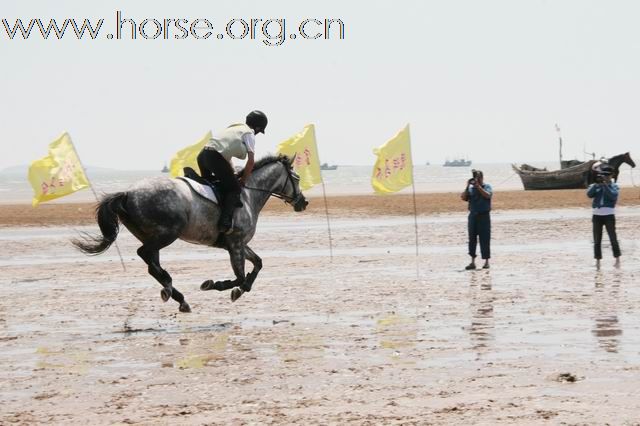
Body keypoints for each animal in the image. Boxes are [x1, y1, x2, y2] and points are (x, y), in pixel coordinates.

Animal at [72, 156, 308, 312]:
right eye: (296, 178)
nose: (303, 202)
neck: (249, 195)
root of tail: (128, 193)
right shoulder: (235, 243)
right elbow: (240, 276)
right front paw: (216, 285)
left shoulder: (238, 244)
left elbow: (257, 263)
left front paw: (241, 290)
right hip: (167, 233)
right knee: (145, 255)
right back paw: (170, 288)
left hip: (151, 235)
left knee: (151, 264)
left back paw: (175, 294)